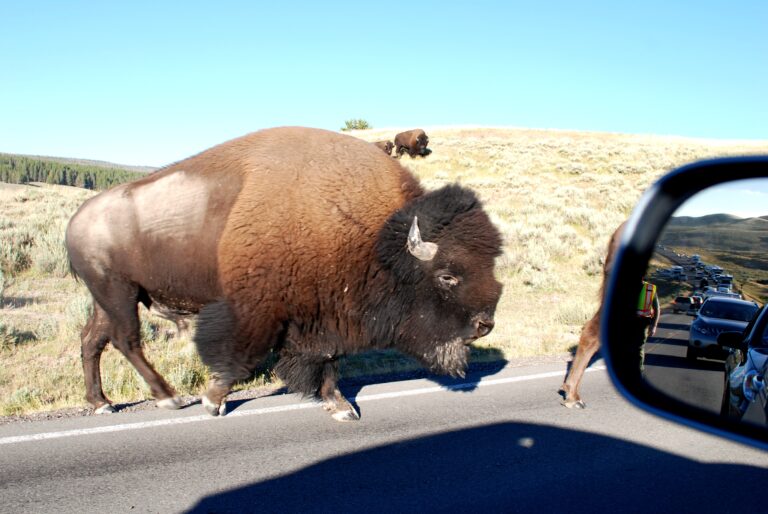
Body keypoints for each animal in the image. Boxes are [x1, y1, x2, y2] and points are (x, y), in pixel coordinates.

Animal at [67, 125, 504, 420]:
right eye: (447, 276)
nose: (485, 324)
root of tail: (77, 220)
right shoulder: (257, 310)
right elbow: (241, 359)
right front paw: (212, 401)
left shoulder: (322, 314)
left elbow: (326, 360)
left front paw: (340, 407)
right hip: (120, 292)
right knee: (126, 340)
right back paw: (168, 397)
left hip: (109, 297)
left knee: (93, 341)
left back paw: (102, 403)